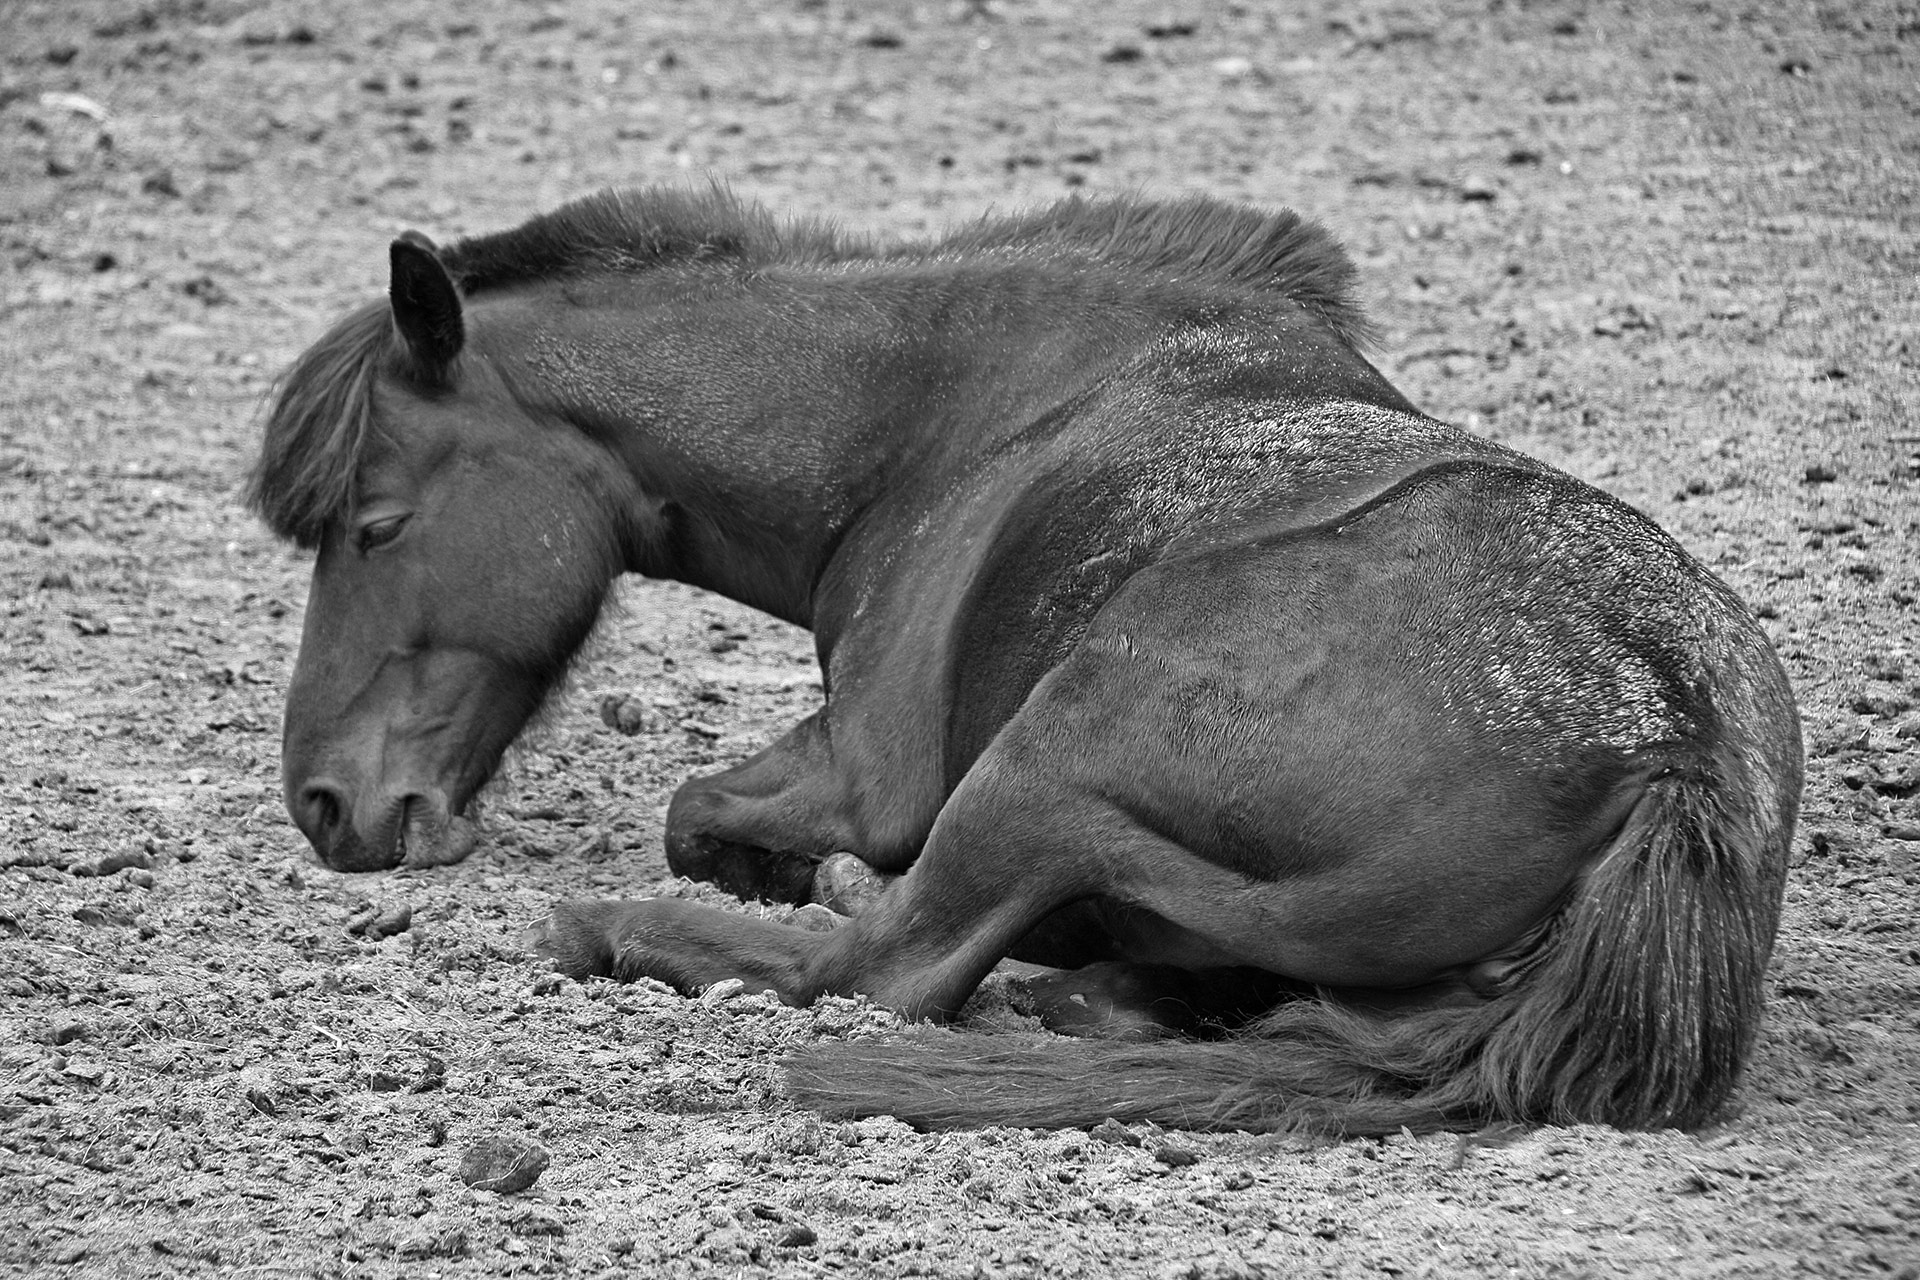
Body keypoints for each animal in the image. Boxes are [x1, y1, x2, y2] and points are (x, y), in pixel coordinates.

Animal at [251, 188, 1797, 1128]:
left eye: (375, 523)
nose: (326, 803)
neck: (934, 418)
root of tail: (1677, 751)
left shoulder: (870, 772)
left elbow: (704, 818)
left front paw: (774, 874)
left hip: (1045, 760)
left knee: (877, 969)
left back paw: (623, 927)